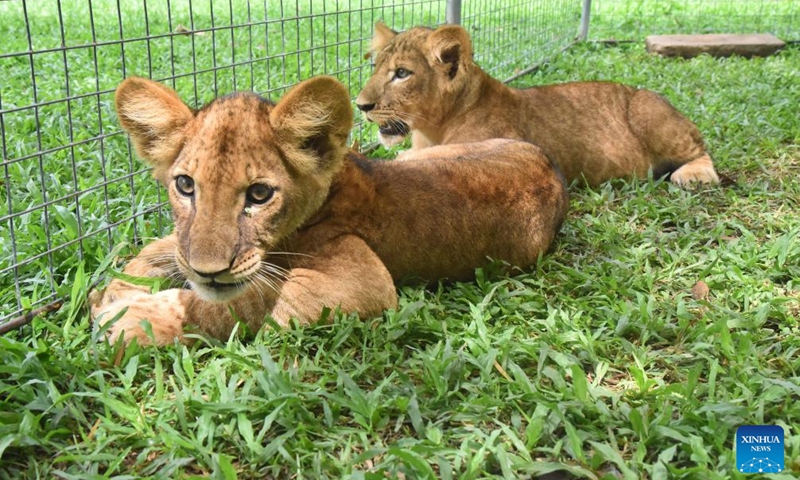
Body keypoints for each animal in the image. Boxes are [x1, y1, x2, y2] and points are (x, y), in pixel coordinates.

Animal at [90, 76, 568, 345]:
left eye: (259, 195)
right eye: (186, 186)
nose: (208, 271)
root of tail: (552, 167)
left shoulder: (364, 284)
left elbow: (247, 303)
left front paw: (134, 321)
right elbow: (163, 246)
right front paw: (116, 288)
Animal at [356, 22, 720, 187]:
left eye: (402, 73)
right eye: (375, 67)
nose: (361, 105)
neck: (432, 128)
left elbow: (430, 157)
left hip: (647, 108)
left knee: (702, 150)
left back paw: (693, 174)